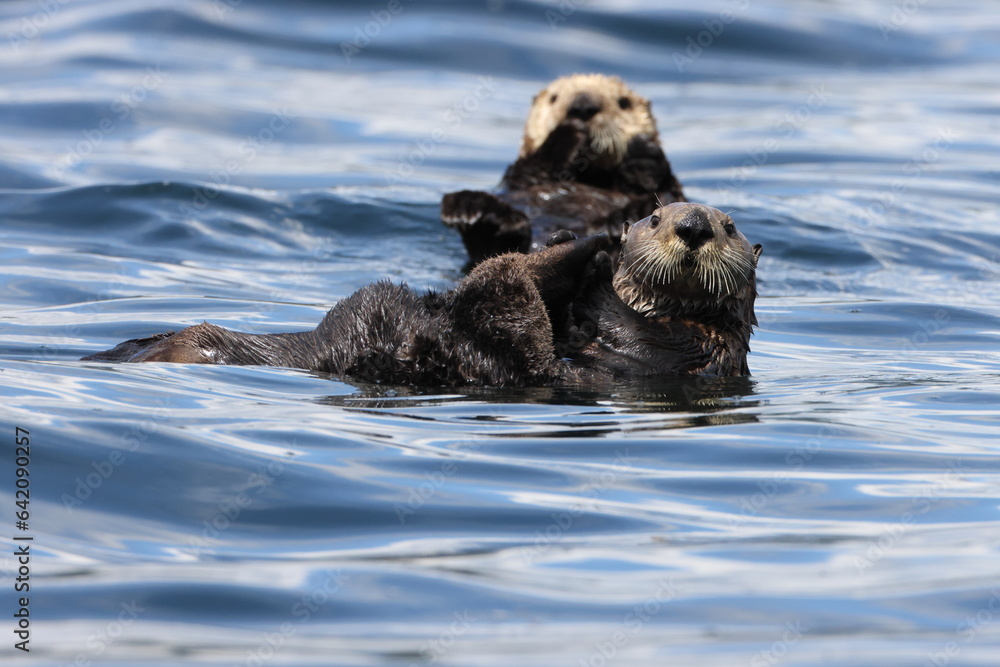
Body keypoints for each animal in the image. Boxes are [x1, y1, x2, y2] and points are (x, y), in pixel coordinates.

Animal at [441, 74, 685, 265]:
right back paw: (473, 212)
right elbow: (530, 168)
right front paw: (566, 134)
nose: (582, 107)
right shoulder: (518, 180)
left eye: (623, 102)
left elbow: (670, 190)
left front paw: (642, 153)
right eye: (553, 98)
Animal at [571, 203, 762, 377]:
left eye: (730, 228)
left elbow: (637, 333)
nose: (695, 226)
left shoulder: (707, 348)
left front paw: (597, 268)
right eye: (655, 219)